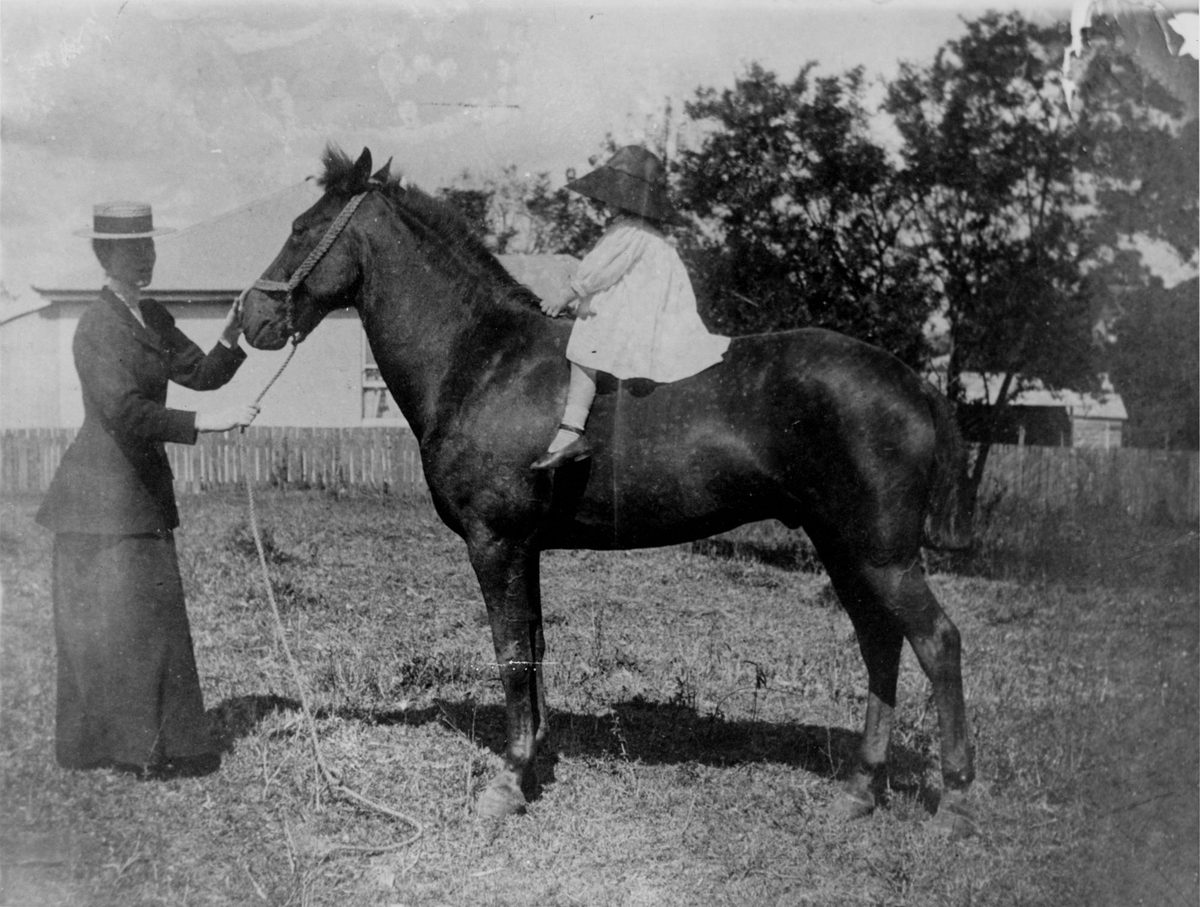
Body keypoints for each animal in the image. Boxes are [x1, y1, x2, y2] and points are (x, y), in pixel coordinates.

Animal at [241, 146, 977, 835]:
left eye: (303, 229)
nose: (250, 317)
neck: (483, 359)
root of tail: (913, 383)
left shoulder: (495, 543)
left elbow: (511, 655)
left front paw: (507, 781)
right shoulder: (526, 549)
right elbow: (535, 648)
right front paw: (536, 757)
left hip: (882, 556)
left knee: (937, 641)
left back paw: (954, 800)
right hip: (844, 549)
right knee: (881, 644)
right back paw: (860, 788)